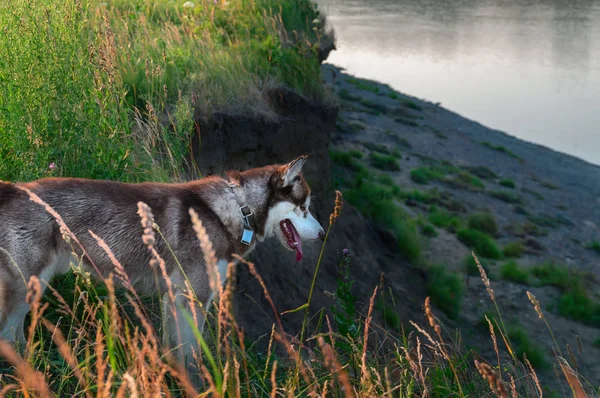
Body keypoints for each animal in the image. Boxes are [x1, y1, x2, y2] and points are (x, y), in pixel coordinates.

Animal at [0, 155, 324, 360]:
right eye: (304, 207)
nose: (322, 234)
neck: (236, 210)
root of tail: (14, 189)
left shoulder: (173, 297)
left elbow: (174, 349)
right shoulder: (192, 298)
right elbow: (192, 352)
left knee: (12, 337)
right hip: (25, 288)